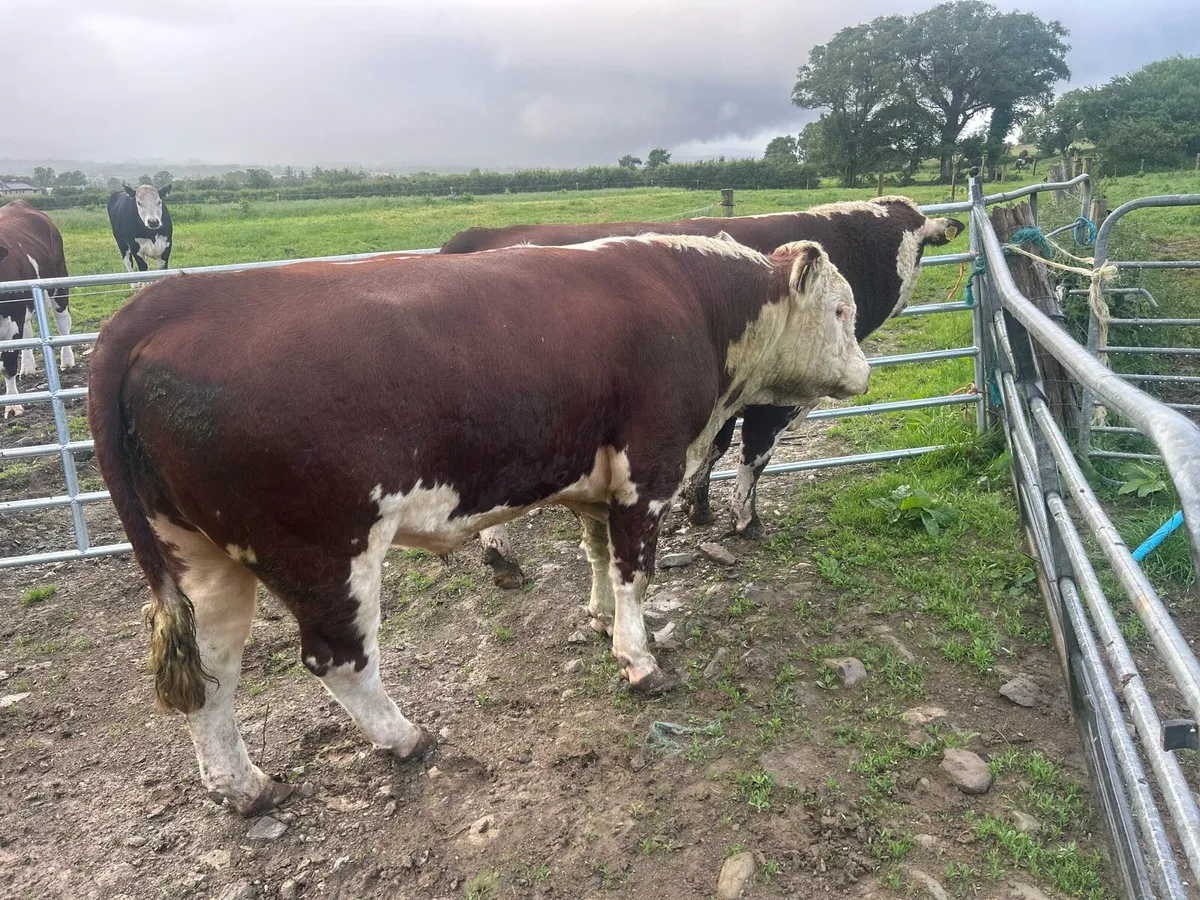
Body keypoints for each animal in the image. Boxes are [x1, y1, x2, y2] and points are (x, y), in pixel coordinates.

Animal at [0, 200, 72, 419]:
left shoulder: (11, 322)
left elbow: (7, 365)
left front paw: (13, 405)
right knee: (28, 331)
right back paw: (28, 367)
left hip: (59, 282)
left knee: (63, 323)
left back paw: (67, 361)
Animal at [88, 233, 869, 814]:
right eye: (840, 310)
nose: (866, 371)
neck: (694, 304)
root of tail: (167, 302)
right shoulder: (648, 471)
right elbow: (633, 572)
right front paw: (638, 657)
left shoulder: (593, 477)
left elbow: (595, 552)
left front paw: (596, 621)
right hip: (324, 545)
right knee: (337, 658)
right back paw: (404, 737)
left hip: (196, 551)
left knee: (213, 670)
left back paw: (244, 786)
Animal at [442, 197, 963, 587]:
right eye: (921, 249)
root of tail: (471, 236)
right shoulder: (770, 404)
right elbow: (753, 458)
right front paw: (745, 520)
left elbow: (715, 450)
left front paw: (700, 507)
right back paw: (501, 556)